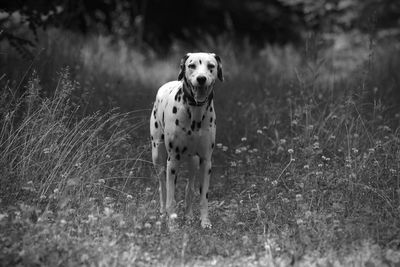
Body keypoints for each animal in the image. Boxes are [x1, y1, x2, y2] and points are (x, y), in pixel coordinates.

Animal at [151, 52, 223, 230]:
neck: (195, 112)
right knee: (163, 187)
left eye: (211, 66)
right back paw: (163, 213)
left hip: (194, 162)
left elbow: (203, 196)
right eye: (191, 65)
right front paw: (172, 224)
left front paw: (205, 221)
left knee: (189, 188)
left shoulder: (205, 161)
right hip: (157, 156)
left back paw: (189, 216)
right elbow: (171, 196)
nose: (201, 78)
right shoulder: (172, 161)